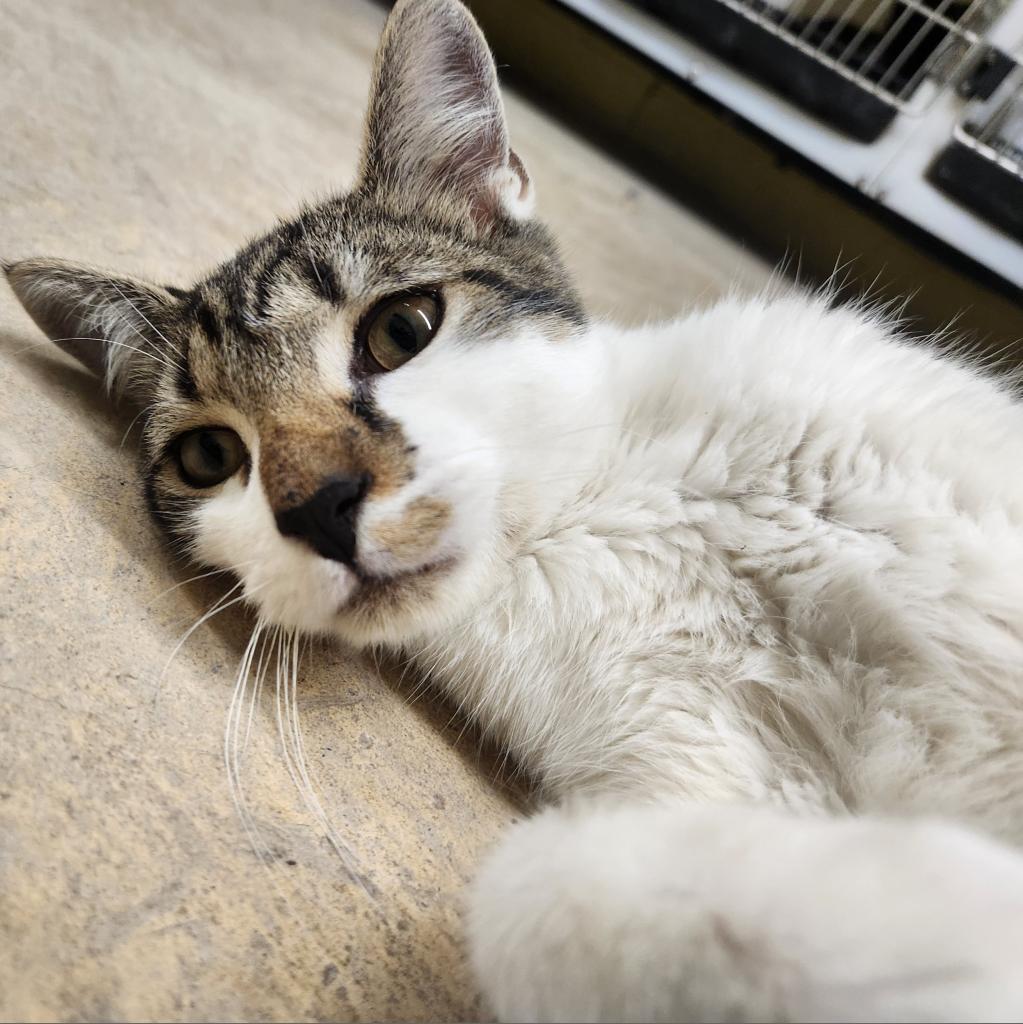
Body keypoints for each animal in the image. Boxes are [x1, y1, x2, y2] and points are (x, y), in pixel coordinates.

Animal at [6, 0, 1023, 1019]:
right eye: (210, 457)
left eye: (402, 328)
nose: (320, 507)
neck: (588, 523)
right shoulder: (681, 758)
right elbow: (537, 882)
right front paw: (948, 917)